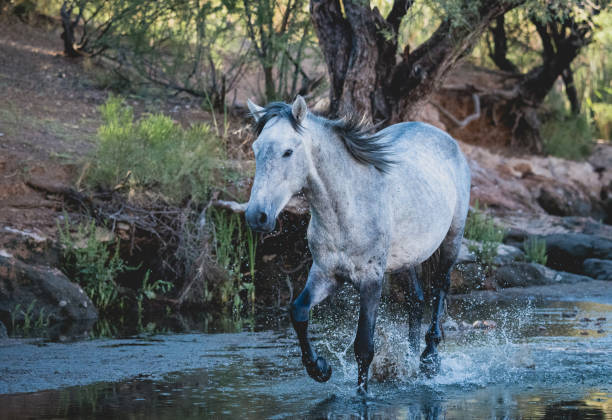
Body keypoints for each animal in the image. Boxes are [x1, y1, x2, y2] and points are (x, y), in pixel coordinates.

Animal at [246, 95, 470, 390]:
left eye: (288, 152)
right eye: (256, 149)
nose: (257, 216)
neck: (349, 207)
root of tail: (443, 136)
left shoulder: (371, 280)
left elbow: (364, 347)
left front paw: (361, 392)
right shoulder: (326, 273)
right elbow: (298, 312)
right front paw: (320, 368)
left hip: (451, 241)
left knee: (439, 288)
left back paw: (429, 359)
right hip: (406, 259)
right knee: (416, 299)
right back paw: (410, 360)